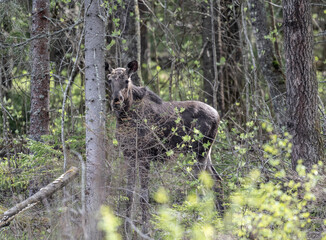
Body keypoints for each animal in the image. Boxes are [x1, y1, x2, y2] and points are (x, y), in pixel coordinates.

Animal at [108, 60, 223, 234]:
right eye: (109, 80)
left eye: (126, 80)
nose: (116, 100)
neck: (125, 118)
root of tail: (218, 116)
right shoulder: (128, 154)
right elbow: (129, 193)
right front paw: (126, 228)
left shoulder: (145, 155)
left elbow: (144, 194)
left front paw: (145, 229)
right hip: (207, 152)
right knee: (217, 180)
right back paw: (222, 219)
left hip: (199, 152)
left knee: (199, 185)